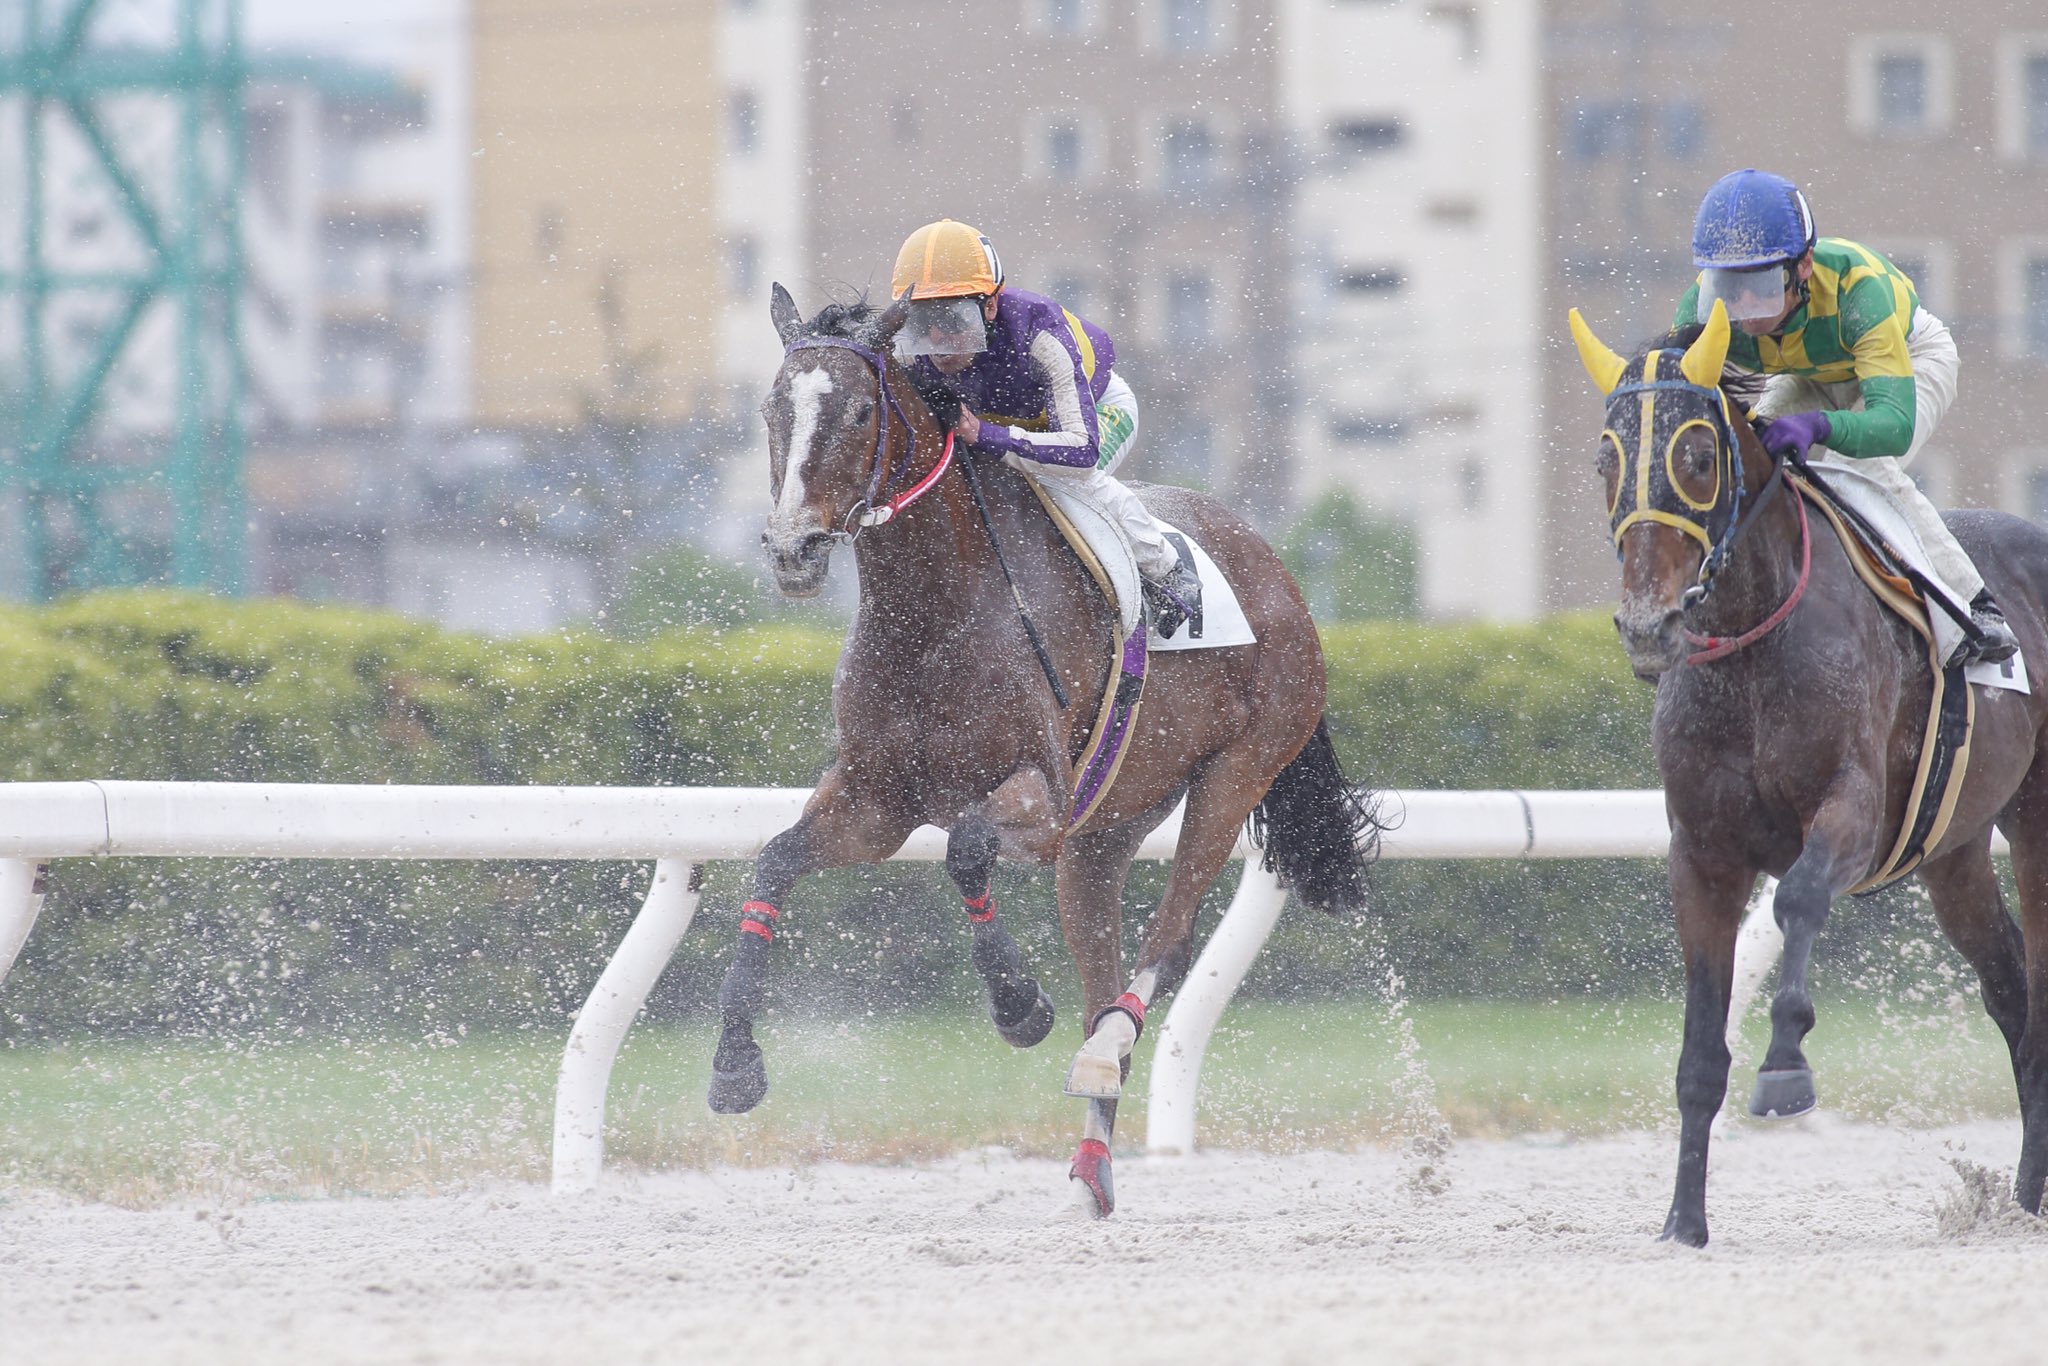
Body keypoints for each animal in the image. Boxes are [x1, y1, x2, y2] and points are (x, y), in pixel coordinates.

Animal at [707, 283, 1381, 1216]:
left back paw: (1101, 1054)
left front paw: (1018, 1003)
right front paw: (734, 1065)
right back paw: (1095, 1152)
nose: (791, 549)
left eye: (856, 411)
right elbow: (773, 861)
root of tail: (1279, 571)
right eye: (774, 409)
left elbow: (966, 847)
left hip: (1238, 770)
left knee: (1169, 938)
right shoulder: (876, 802)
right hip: (1105, 834)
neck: (934, 616)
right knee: (1103, 965)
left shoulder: (1044, 799)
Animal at [1566, 298, 2048, 1245]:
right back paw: (2023, 1195)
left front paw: (1786, 1064)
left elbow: (1796, 900)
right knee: (2011, 989)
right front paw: (1683, 1221)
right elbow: (1699, 1049)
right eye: (1607, 458)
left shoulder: (1854, 811)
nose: (1647, 626)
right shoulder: (1702, 852)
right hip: (1956, 852)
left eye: (1698, 457)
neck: (1752, 641)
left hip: (2039, 827)